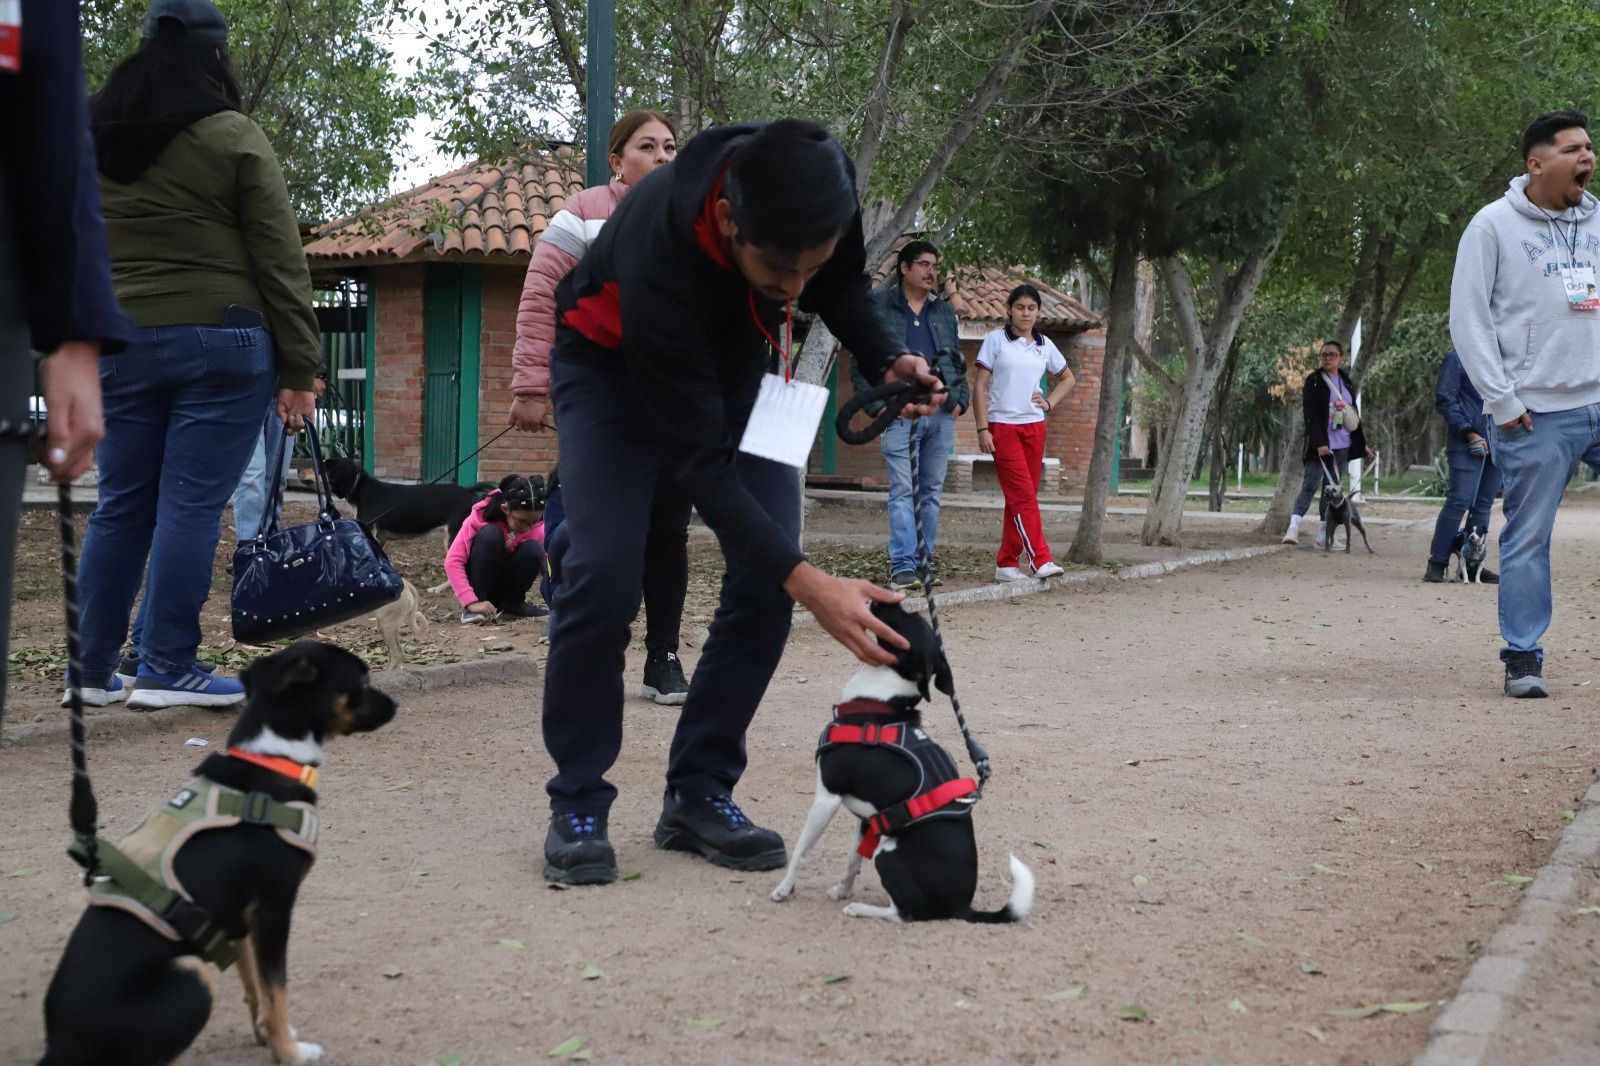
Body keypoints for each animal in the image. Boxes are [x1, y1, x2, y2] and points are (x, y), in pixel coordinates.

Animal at [40, 640, 396, 1062]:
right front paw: (289, 1051)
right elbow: (277, 991)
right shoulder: (274, 910)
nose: (394, 705)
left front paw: (266, 1036)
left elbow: (256, 988)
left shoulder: (237, 920)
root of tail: (60, 1044)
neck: (273, 761)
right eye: (362, 680)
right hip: (191, 973)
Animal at [771, 601, 1036, 915]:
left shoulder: (827, 797)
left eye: (910, 617)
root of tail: (961, 907)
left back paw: (860, 909)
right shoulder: (869, 819)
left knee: (903, 913)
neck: (878, 704)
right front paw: (842, 890)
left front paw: (784, 888)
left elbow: (801, 850)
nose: (888, 597)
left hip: (886, 853)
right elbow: (852, 859)